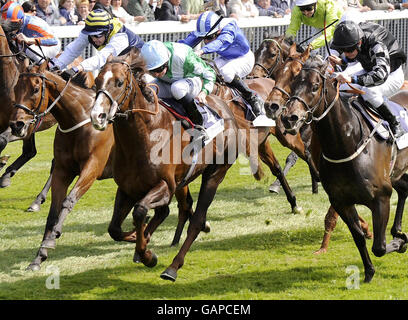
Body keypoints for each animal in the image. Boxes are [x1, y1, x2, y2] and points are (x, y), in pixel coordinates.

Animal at [90, 50, 264, 282]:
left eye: (119, 82)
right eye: (96, 81)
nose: (97, 116)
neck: (145, 135)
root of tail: (227, 109)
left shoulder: (165, 185)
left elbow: (140, 211)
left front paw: (147, 254)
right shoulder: (127, 188)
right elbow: (115, 229)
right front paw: (140, 242)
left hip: (215, 173)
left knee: (196, 220)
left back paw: (172, 267)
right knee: (173, 211)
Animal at [280, 58, 408, 282]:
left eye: (315, 86)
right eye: (293, 84)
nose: (289, 118)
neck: (348, 143)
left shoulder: (381, 198)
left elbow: (380, 247)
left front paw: (399, 242)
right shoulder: (341, 201)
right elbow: (359, 238)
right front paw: (369, 271)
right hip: (397, 174)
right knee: (405, 189)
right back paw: (398, 229)